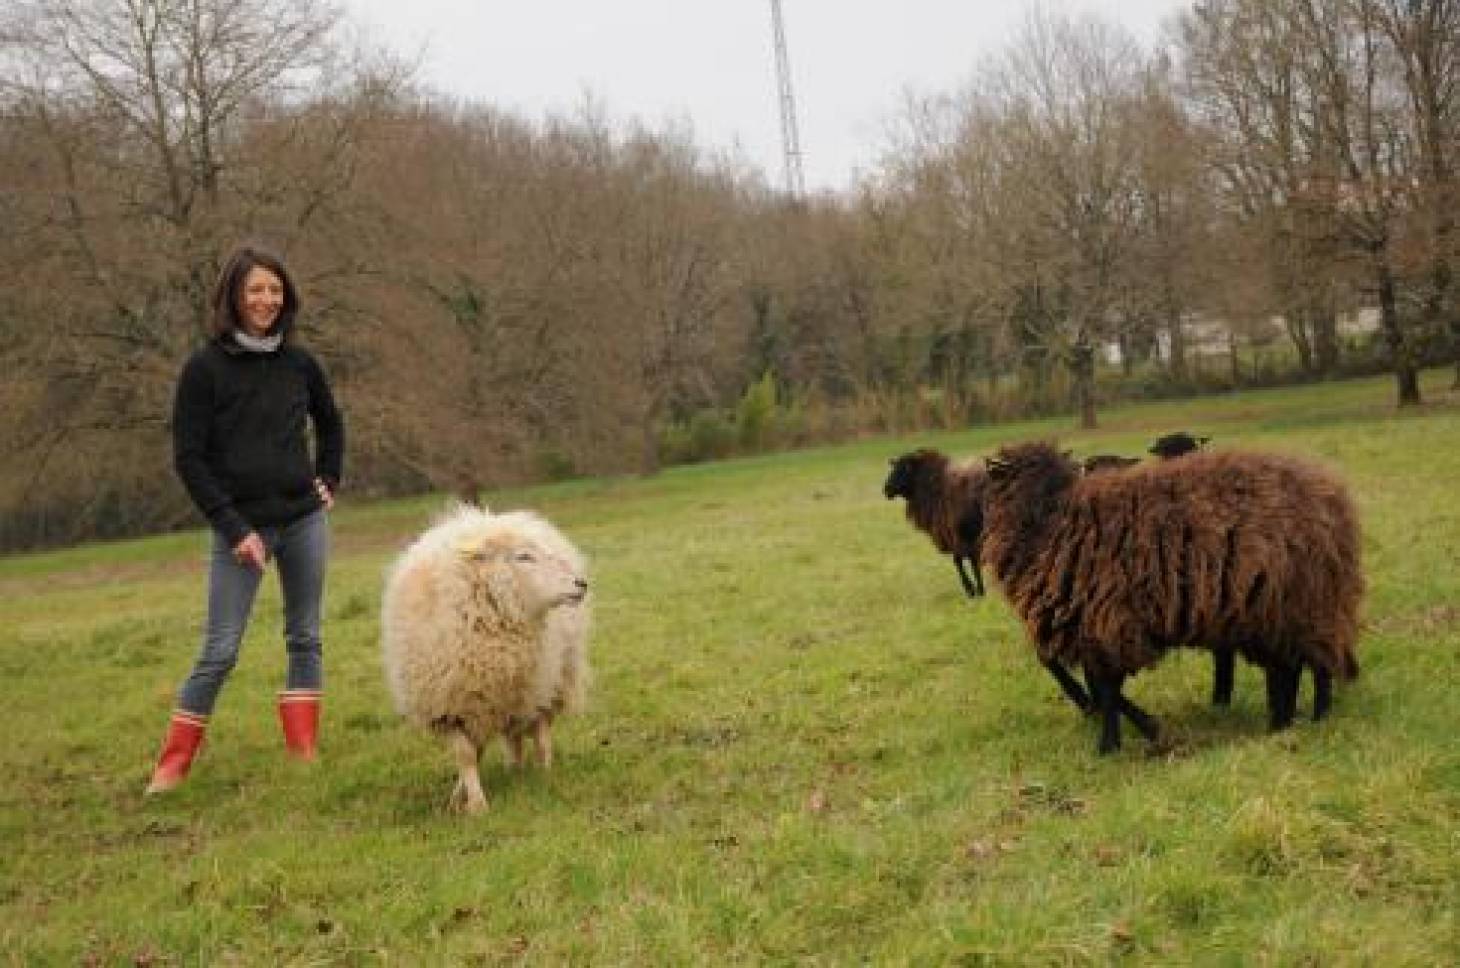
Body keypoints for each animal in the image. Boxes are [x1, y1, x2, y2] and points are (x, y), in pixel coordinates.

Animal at [385, 502, 595, 811]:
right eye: (524, 556)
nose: (580, 583)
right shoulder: (451, 705)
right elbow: (467, 754)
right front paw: (467, 800)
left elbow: (483, 749)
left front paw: (473, 804)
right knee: (512, 735)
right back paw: (513, 770)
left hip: (548, 680)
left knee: (539, 730)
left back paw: (543, 770)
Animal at [975, 440, 1360, 759]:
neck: (1051, 517)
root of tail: (1332, 493)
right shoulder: (1093, 628)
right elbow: (1102, 687)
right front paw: (1141, 730)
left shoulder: (1109, 622)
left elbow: (1107, 689)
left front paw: (1110, 746)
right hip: (1275, 609)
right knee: (1292, 666)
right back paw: (1282, 723)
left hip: (1304, 600)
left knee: (1315, 663)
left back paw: (1316, 718)